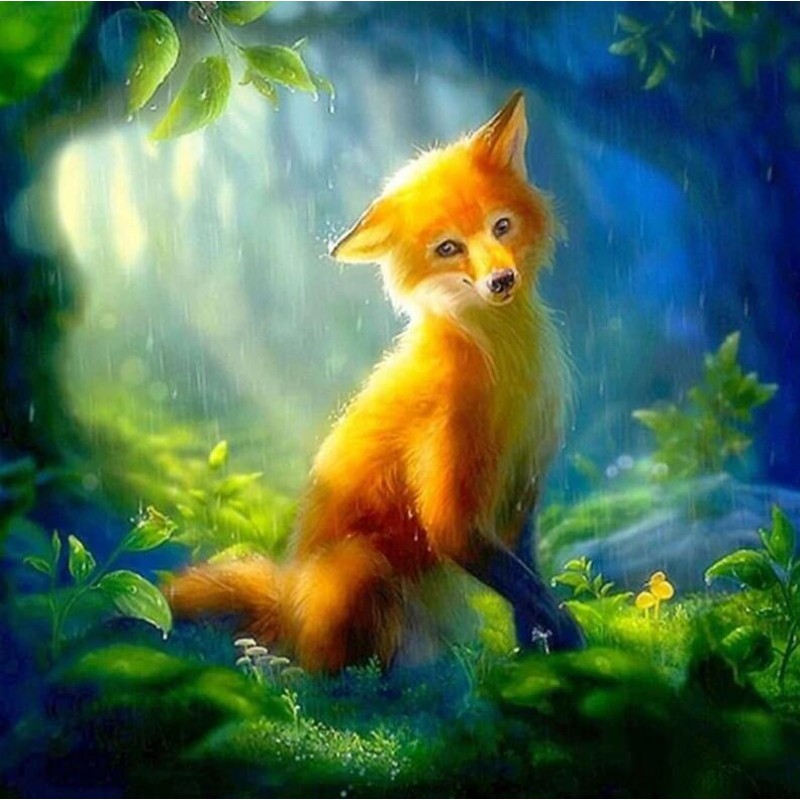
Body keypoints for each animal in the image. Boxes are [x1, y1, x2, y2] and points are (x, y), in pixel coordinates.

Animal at [166, 91, 584, 671]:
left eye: (501, 226)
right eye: (448, 248)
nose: (501, 281)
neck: (501, 370)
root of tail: (288, 605)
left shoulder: (521, 487)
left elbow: (528, 589)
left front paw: (539, 660)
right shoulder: (452, 508)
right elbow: (527, 586)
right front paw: (570, 639)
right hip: (358, 565)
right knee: (332, 669)